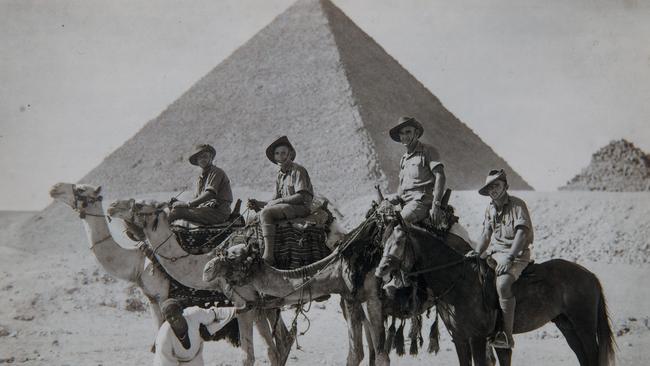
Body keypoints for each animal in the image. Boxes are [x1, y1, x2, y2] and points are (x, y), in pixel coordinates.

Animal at [47, 183, 284, 366]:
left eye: (80, 189)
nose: (54, 188)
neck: (137, 263)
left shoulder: (161, 296)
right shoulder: (152, 299)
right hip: (268, 302)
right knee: (279, 338)